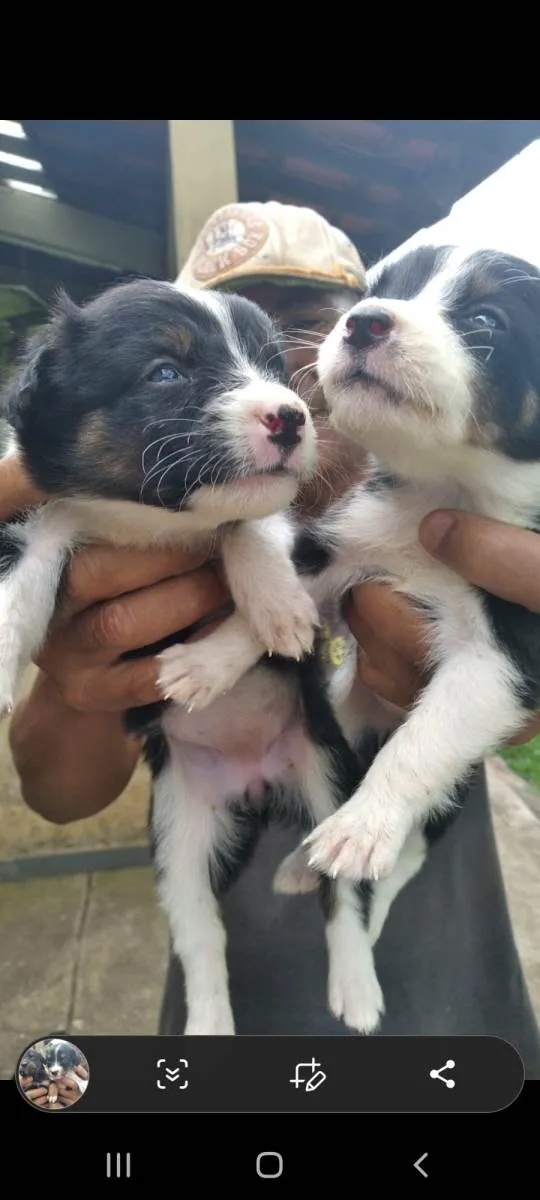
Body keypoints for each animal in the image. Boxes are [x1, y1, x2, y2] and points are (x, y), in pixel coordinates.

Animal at [3, 283, 384, 1041]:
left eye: (275, 368)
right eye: (165, 374)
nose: (291, 417)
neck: (155, 526)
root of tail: (257, 782)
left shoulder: (289, 521)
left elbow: (250, 526)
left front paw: (273, 607)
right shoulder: (49, 514)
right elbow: (31, 565)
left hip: (327, 772)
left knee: (342, 892)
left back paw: (355, 990)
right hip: (180, 829)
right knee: (201, 933)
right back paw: (209, 1022)